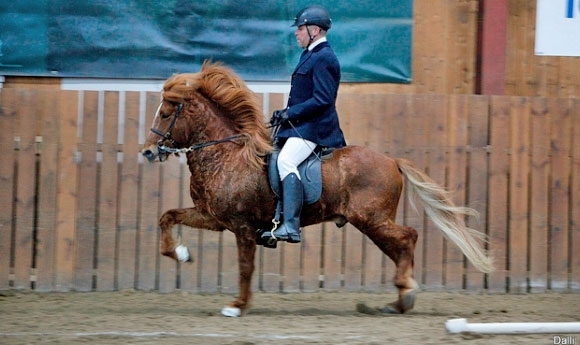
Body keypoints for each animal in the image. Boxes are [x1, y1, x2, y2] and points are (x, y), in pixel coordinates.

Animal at [142, 61, 494, 314]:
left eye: (166, 113)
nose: (147, 152)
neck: (225, 154)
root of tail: (392, 160)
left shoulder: (241, 226)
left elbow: (245, 266)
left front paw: (237, 306)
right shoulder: (213, 217)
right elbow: (167, 216)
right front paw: (181, 253)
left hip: (372, 219)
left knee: (408, 237)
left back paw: (404, 294)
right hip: (371, 222)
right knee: (400, 247)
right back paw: (397, 301)